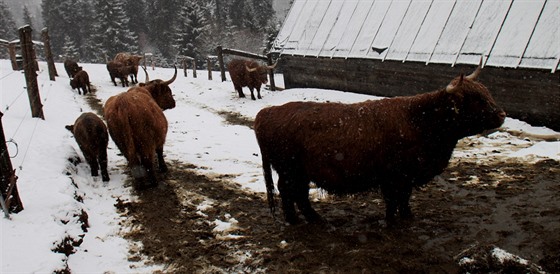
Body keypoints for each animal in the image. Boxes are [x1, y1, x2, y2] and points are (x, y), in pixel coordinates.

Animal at [256, 60, 506, 225]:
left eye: (486, 91)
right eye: (475, 99)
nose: (502, 115)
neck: (420, 121)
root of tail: (268, 112)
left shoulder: (405, 177)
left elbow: (404, 199)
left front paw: (406, 217)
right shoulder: (395, 176)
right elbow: (394, 200)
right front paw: (394, 221)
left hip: (299, 172)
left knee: (297, 194)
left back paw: (312, 219)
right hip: (290, 170)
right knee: (289, 191)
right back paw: (298, 220)